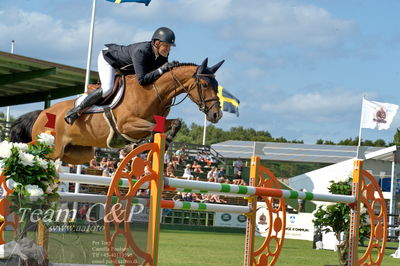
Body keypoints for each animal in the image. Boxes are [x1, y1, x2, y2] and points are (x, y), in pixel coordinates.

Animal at [9, 58, 223, 164]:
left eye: (216, 85)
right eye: (205, 84)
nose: (216, 115)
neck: (153, 91)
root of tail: (41, 113)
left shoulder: (159, 119)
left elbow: (174, 123)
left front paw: (166, 142)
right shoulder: (126, 125)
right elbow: (152, 129)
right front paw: (129, 148)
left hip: (76, 153)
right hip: (49, 149)